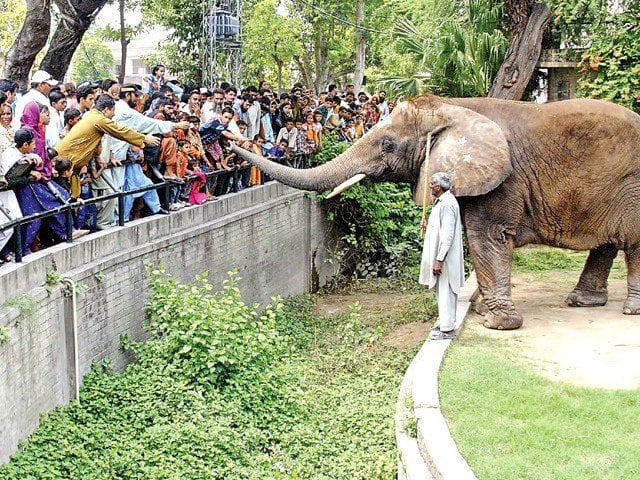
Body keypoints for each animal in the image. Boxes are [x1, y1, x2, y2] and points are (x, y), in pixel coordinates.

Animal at [232, 97, 640, 330]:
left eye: (387, 144)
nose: (231, 143)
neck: (451, 107)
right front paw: (483, 312)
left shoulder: (502, 179)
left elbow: (487, 238)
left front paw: (497, 323)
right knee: (607, 243)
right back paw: (582, 302)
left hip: (632, 184)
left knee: (633, 244)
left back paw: (630, 310)